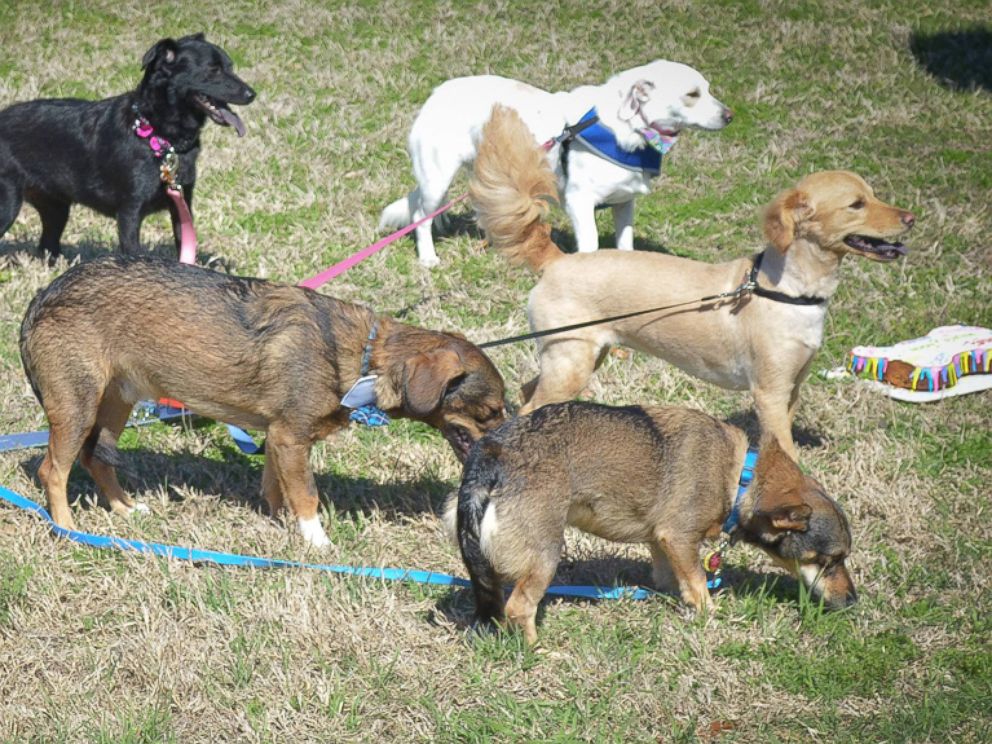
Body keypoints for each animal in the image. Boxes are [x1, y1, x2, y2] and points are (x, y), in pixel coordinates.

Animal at [0, 35, 256, 262]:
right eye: (214, 70)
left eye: (230, 67)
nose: (252, 94)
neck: (159, 135)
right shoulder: (130, 212)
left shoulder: (182, 208)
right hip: (9, 204)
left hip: (56, 207)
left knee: (47, 245)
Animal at [19, 258, 508, 548]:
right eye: (491, 411)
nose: (507, 448)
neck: (361, 357)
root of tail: (43, 295)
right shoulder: (291, 439)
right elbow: (307, 495)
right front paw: (317, 542)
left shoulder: (278, 438)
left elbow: (277, 488)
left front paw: (278, 522)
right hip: (78, 406)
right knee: (53, 470)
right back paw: (67, 527)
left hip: (116, 403)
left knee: (95, 460)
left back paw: (124, 508)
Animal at [384, 60, 732, 268]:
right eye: (692, 94)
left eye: (708, 89)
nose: (730, 115)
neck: (628, 128)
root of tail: (438, 92)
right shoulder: (580, 202)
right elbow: (590, 245)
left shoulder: (625, 203)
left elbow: (625, 245)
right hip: (438, 177)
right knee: (420, 215)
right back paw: (428, 256)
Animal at [446, 402, 856, 644]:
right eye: (829, 560)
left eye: (840, 559)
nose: (853, 601)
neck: (741, 475)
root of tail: (491, 455)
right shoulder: (679, 538)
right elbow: (699, 586)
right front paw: (710, 617)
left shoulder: (661, 541)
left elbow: (671, 580)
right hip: (547, 555)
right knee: (519, 608)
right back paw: (538, 652)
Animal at [472, 105, 916, 460]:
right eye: (856, 205)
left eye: (874, 193)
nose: (911, 218)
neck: (788, 291)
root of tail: (559, 260)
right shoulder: (769, 393)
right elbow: (786, 451)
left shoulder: (792, 388)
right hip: (570, 360)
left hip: (578, 357)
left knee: (529, 393)